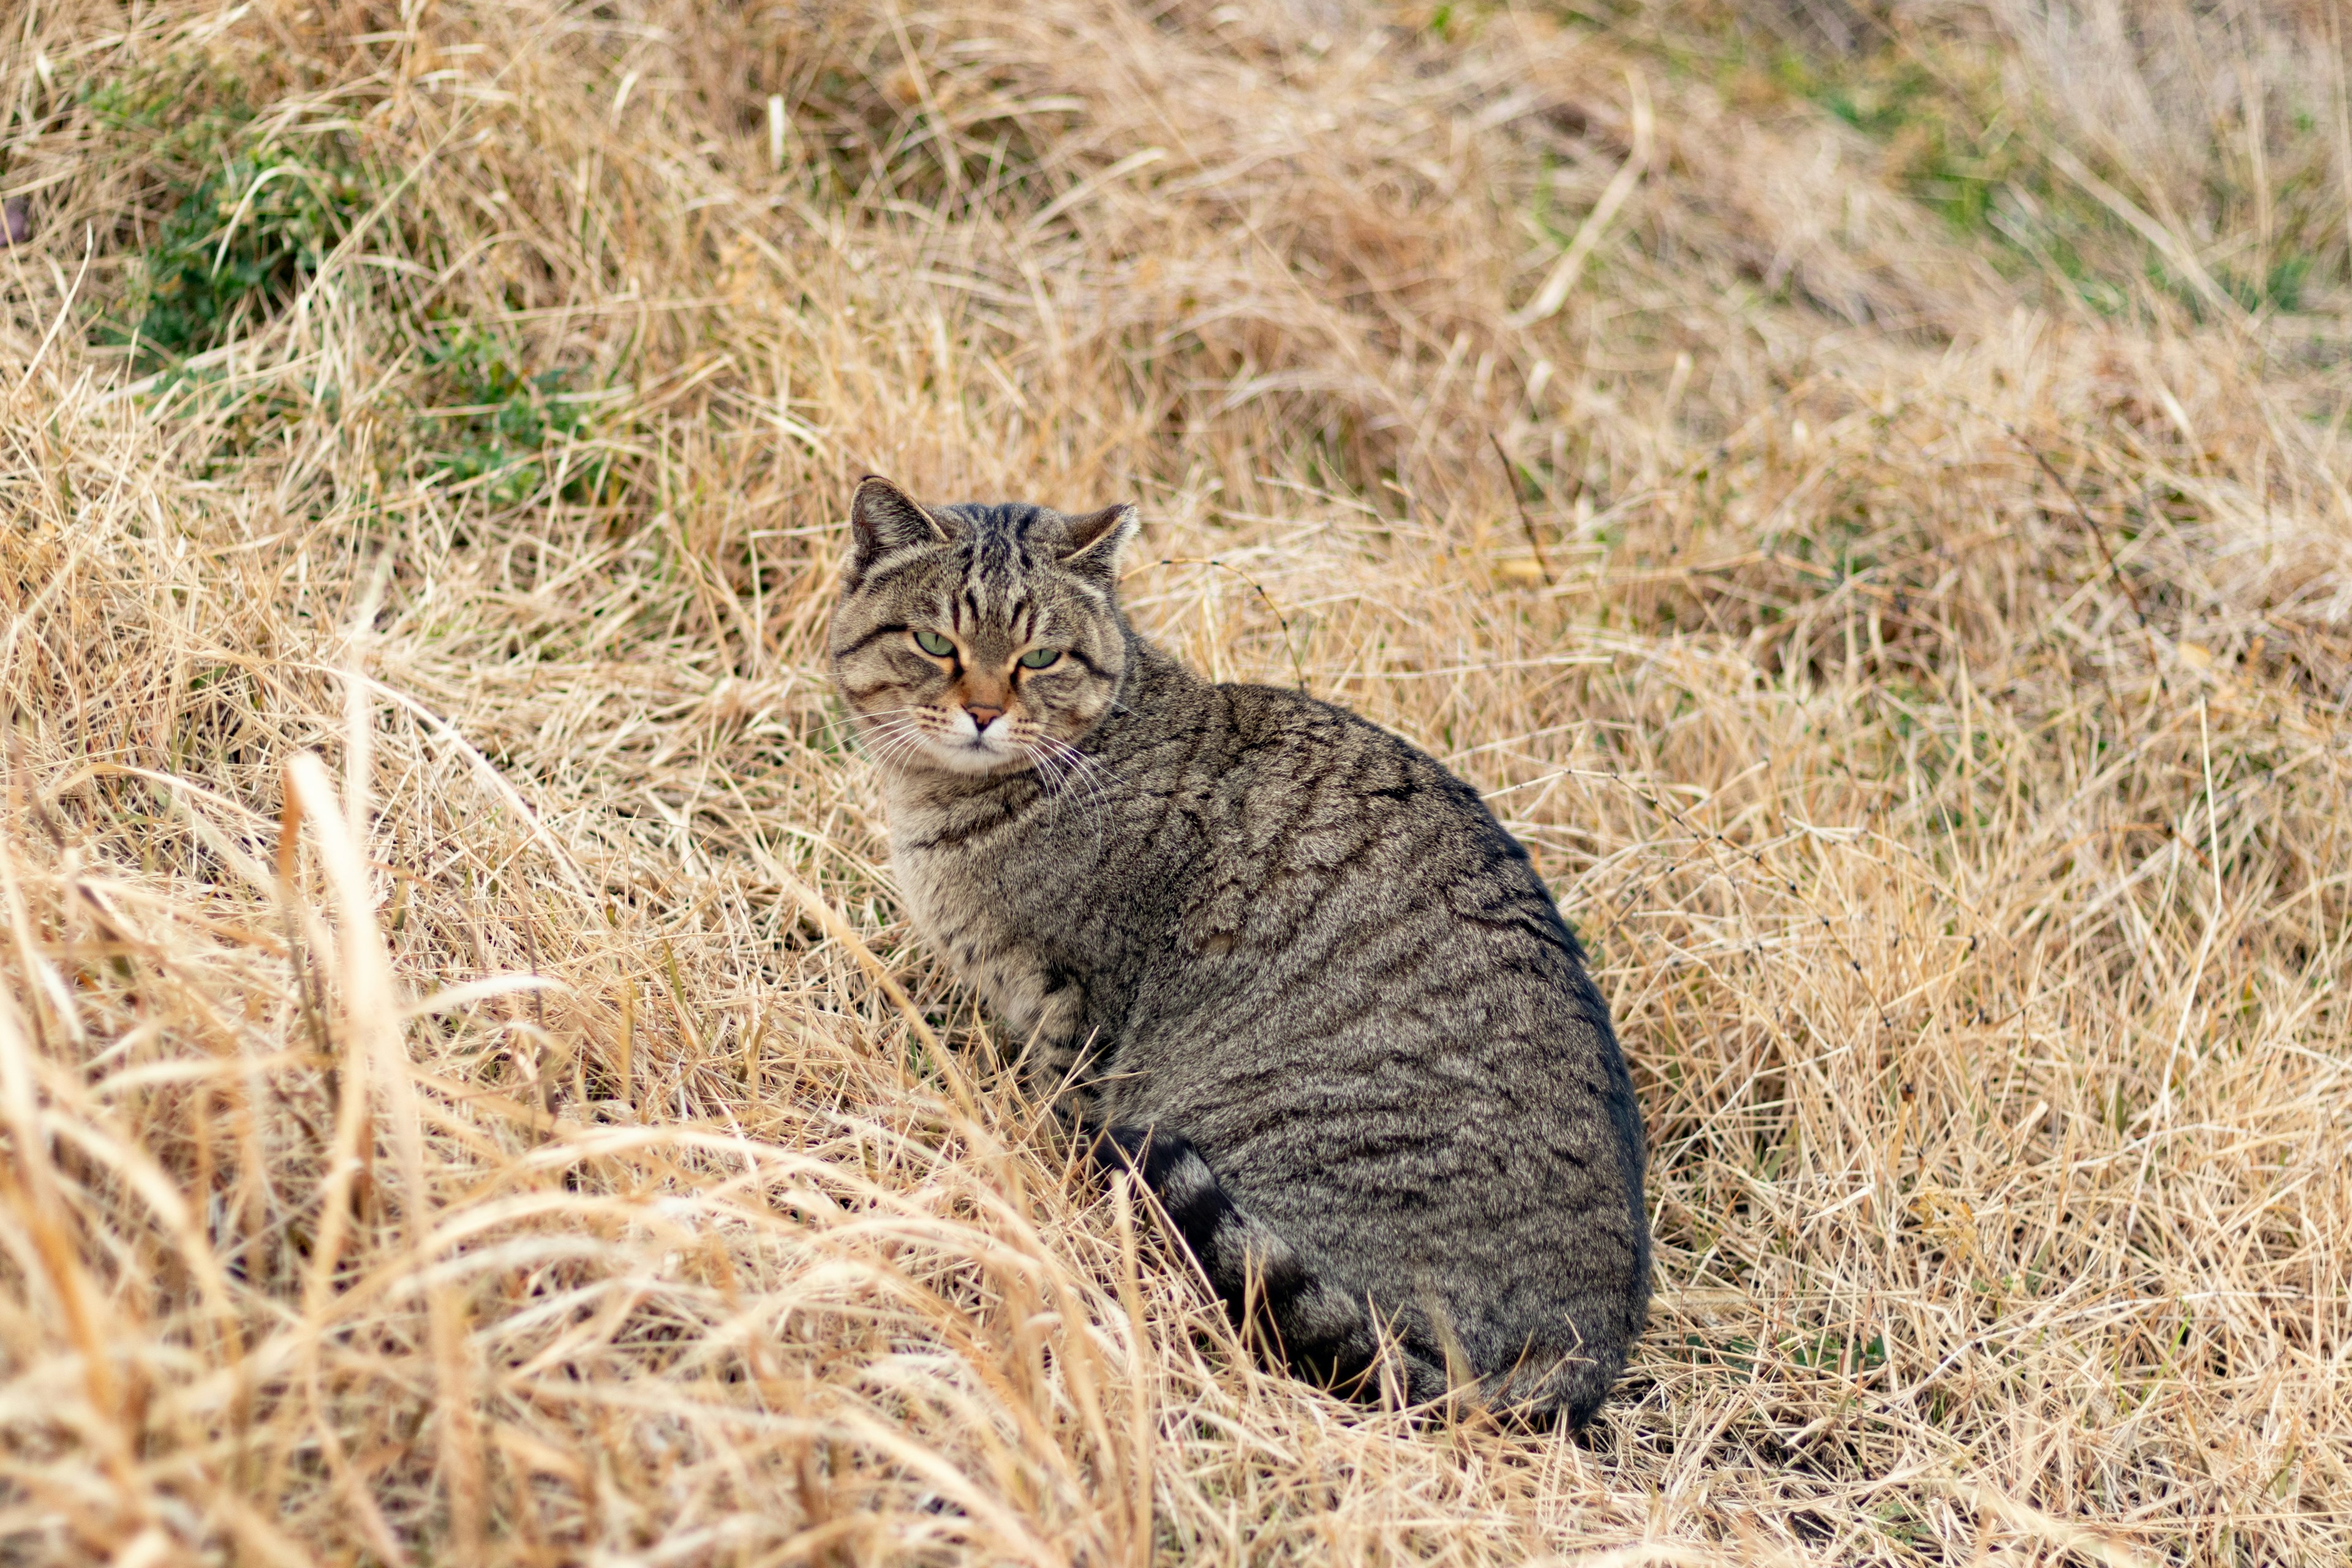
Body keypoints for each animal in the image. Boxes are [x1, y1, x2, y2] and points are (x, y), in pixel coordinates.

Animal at [827, 472, 1656, 1429]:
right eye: (935, 643)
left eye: (1040, 658)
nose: (985, 713)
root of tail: (1586, 1352)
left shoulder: (1080, 997)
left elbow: (1055, 1108)